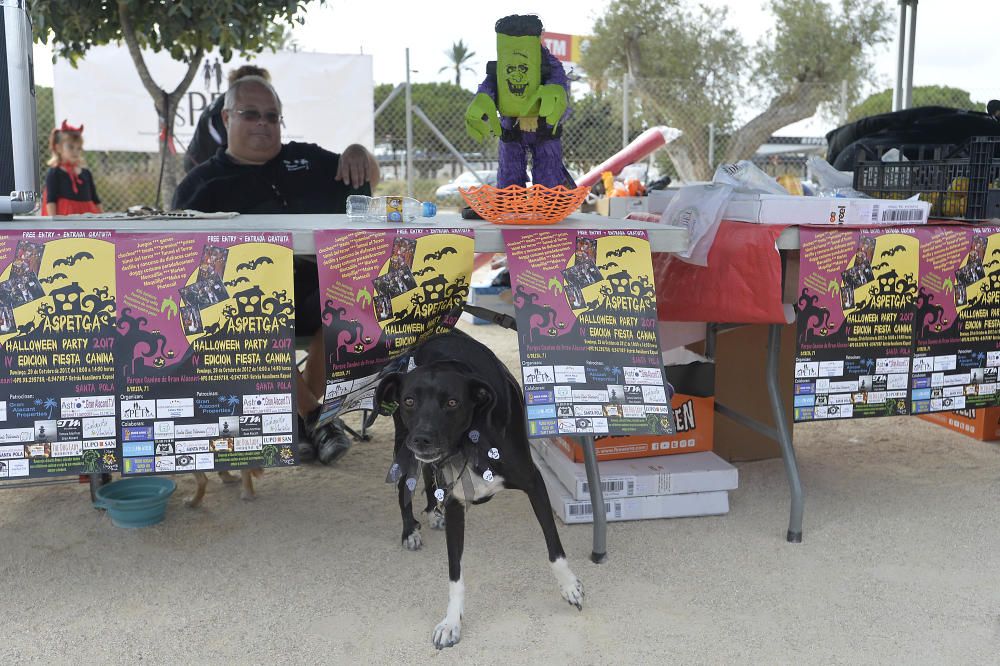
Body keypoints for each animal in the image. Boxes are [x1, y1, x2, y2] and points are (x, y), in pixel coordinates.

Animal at [372, 330, 584, 644]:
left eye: (452, 403)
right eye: (409, 401)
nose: (422, 438)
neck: (470, 439)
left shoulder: (534, 483)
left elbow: (554, 547)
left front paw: (569, 587)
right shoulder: (455, 503)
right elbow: (455, 573)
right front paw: (451, 622)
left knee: (428, 475)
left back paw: (432, 513)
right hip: (403, 445)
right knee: (405, 488)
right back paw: (410, 530)